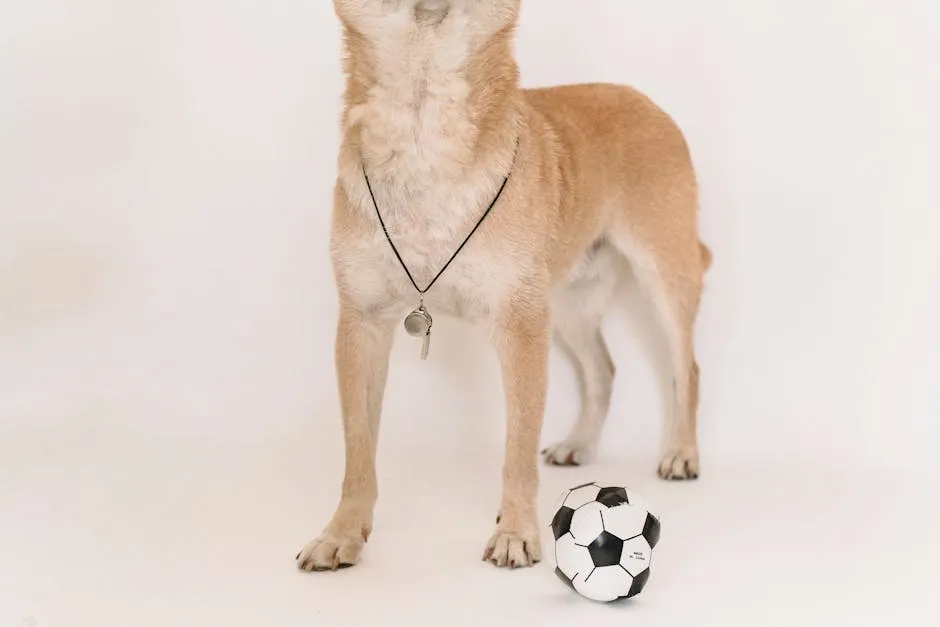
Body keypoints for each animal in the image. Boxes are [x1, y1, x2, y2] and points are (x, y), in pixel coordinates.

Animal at [298, 1, 708, 576]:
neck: (424, 120)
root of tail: (639, 96)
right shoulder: (362, 325)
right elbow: (358, 451)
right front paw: (341, 534)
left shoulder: (521, 328)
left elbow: (516, 448)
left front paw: (515, 533)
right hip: (568, 306)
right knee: (602, 370)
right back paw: (580, 443)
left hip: (663, 276)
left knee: (684, 367)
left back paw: (681, 452)